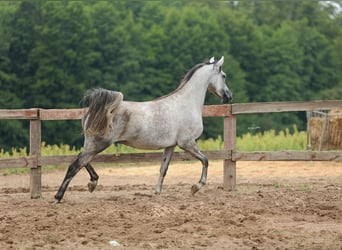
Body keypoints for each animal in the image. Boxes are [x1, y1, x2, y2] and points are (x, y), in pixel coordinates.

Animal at [54, 55, 232, 202]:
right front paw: (196, 187)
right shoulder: (187, 143)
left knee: (82, 159)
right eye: (224, 76)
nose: (229, 97)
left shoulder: (170, 146)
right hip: (99, 143)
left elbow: (163, 169)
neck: (186, 104)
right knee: (76, 164)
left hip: (92, 143)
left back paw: (92, 182)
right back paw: (59, 196)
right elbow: (205, 160)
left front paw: (157, 192)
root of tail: (92, 111)